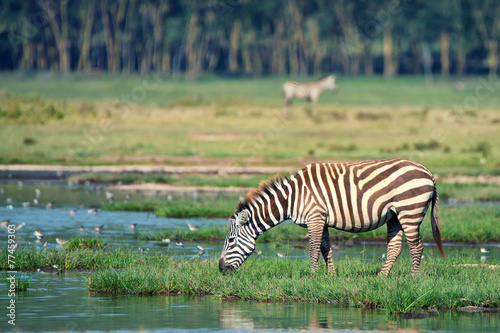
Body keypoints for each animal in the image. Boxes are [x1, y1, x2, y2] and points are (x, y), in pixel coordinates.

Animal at [219, 158, 446, 274]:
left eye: (231, 240)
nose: (220, 269)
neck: (292, 198)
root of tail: (428, 172)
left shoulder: (315, 217)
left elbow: (312, 248)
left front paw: (312, 277)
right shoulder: (322, 219)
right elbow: (325, 247)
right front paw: (331, 277)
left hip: (410, 210)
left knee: (416, 247)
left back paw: (413, 278)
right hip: (394, 215)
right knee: (395, 247)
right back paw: (381, 278)